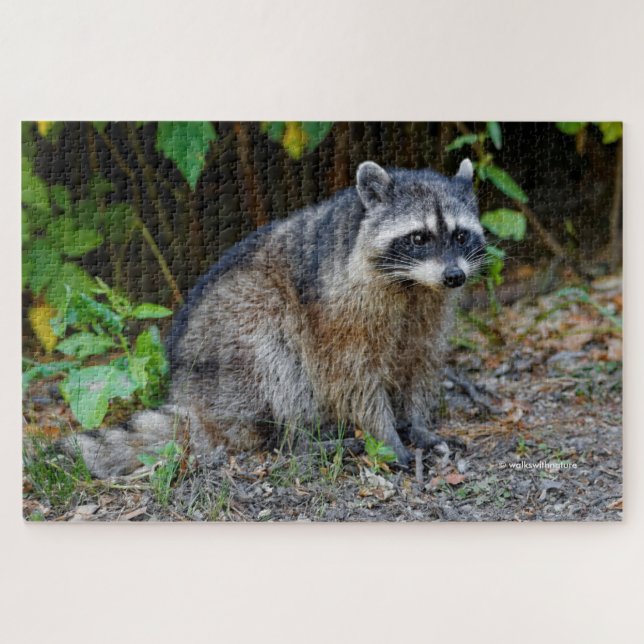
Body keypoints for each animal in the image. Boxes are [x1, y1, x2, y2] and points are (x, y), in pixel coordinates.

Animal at [68, 159, 485, 477]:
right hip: (235, 336)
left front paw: (418, 424)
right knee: (277, 365)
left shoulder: (429, 311)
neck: (413, 284)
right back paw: (300, 441)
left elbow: (420, 363)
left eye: (461, 236)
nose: (454, 276)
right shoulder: (338, 311)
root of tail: (189, 394)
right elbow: (352, 379)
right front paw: (385, 435)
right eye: (419, 238)